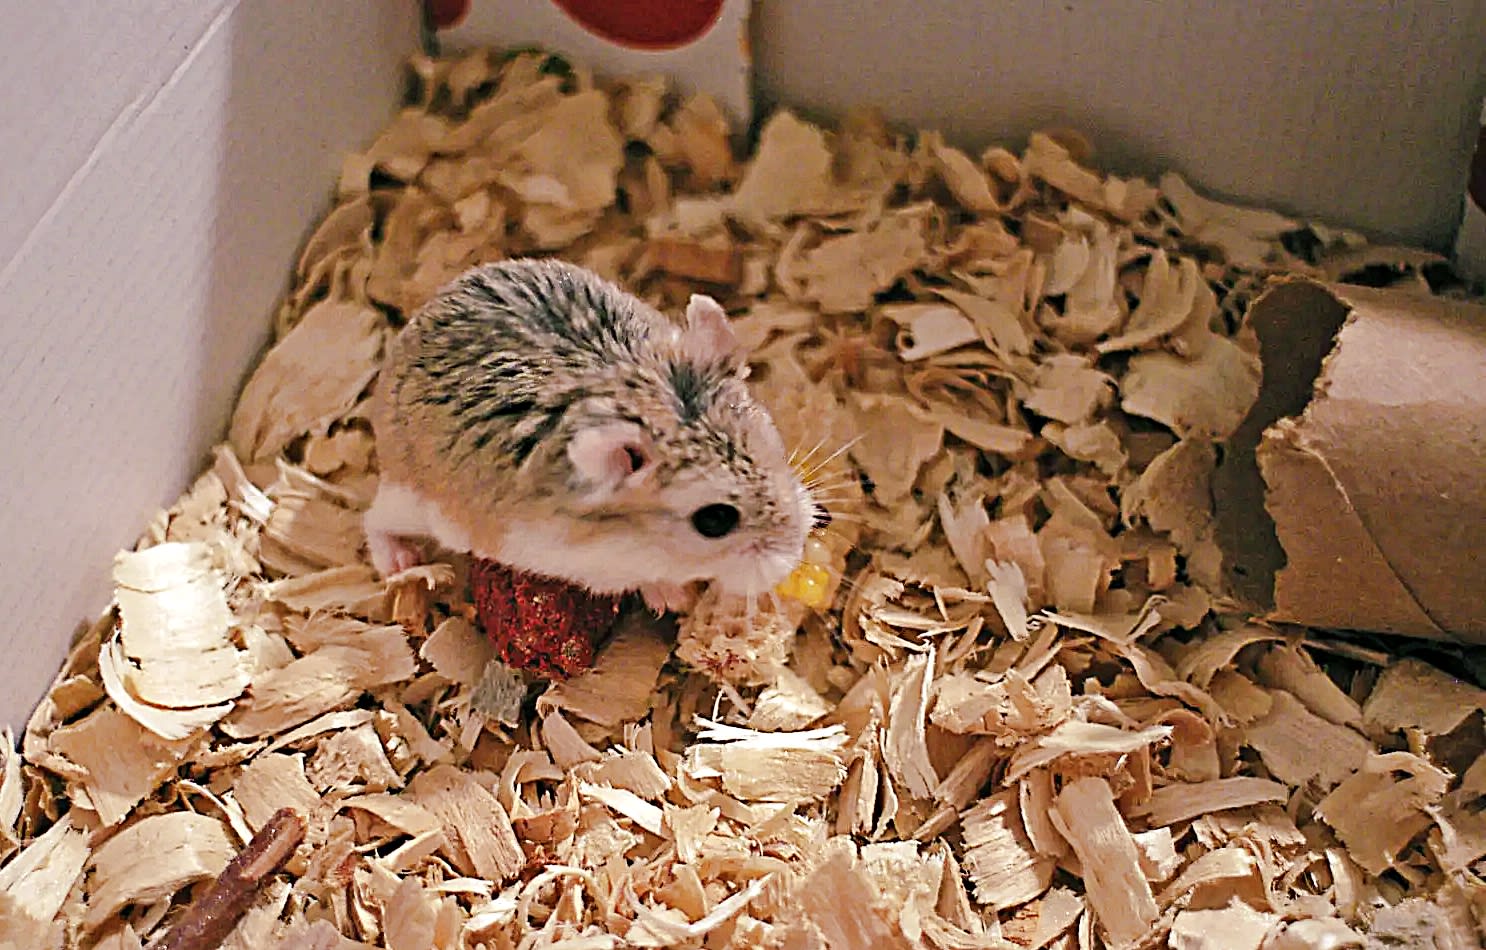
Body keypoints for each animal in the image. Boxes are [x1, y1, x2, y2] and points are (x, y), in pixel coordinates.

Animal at [364, 257, 819, 613]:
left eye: (774, 444)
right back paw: (401, 562)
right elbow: (640, 580)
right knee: (372, 518)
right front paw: (676, 599)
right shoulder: (585, 564)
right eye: (715, 520)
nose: (793, 555)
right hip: (414, 498)